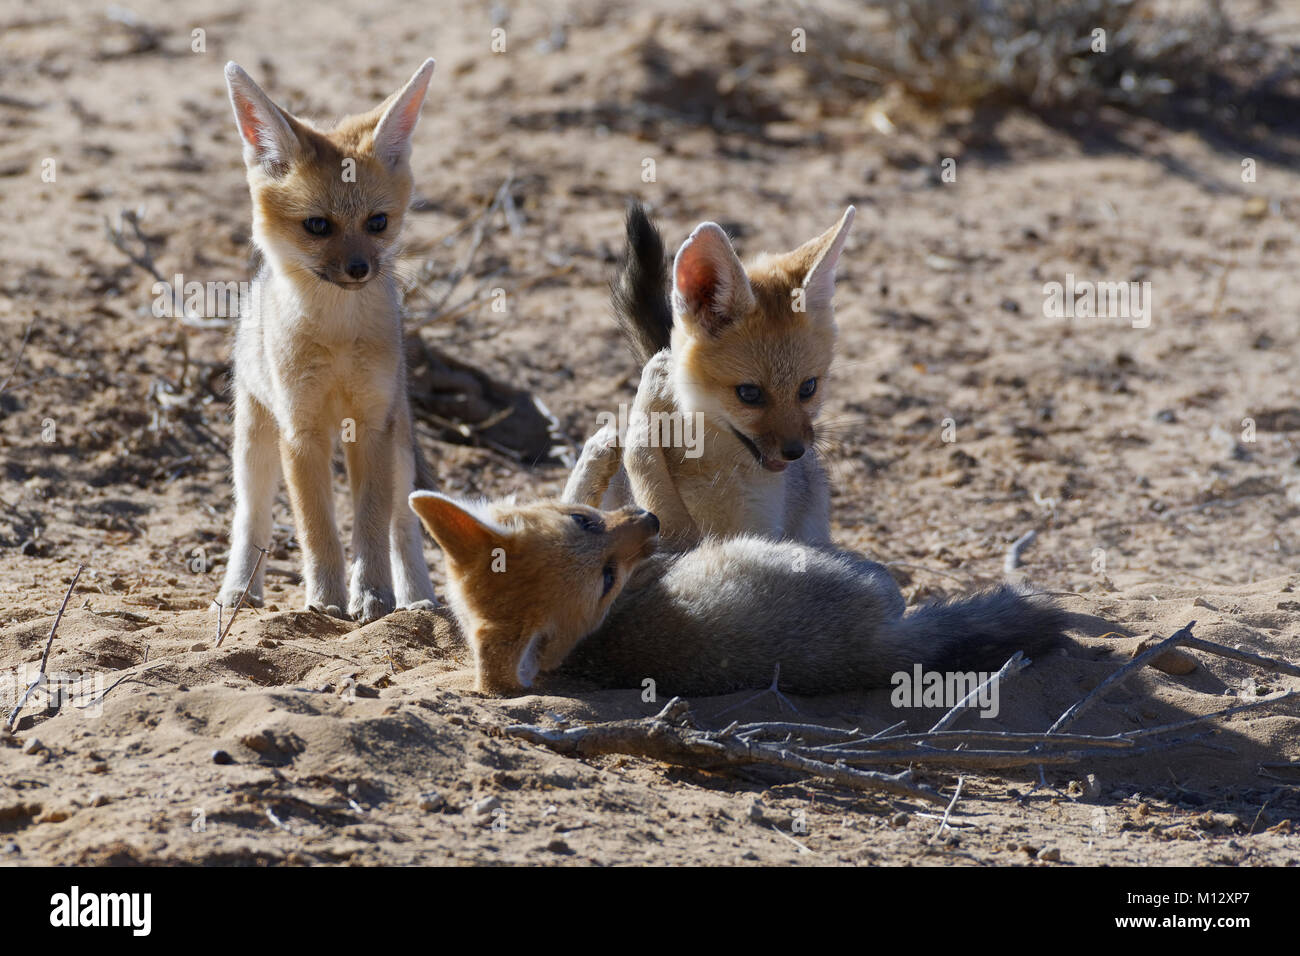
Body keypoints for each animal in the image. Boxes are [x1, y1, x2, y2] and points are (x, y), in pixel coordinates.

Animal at [215, 59, 440, 622]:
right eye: (318, 226)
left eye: (377, 223)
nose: (359, 269)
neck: (338, 337)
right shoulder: (301, 431)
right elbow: (317, 527)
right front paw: (325, 600)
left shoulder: (372, 427)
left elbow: (372, 526)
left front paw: (374, 597)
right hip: (254, 446)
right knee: (250, 516)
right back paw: (240, 591)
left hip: (399, 445)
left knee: (405, 522)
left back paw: (418, 598)